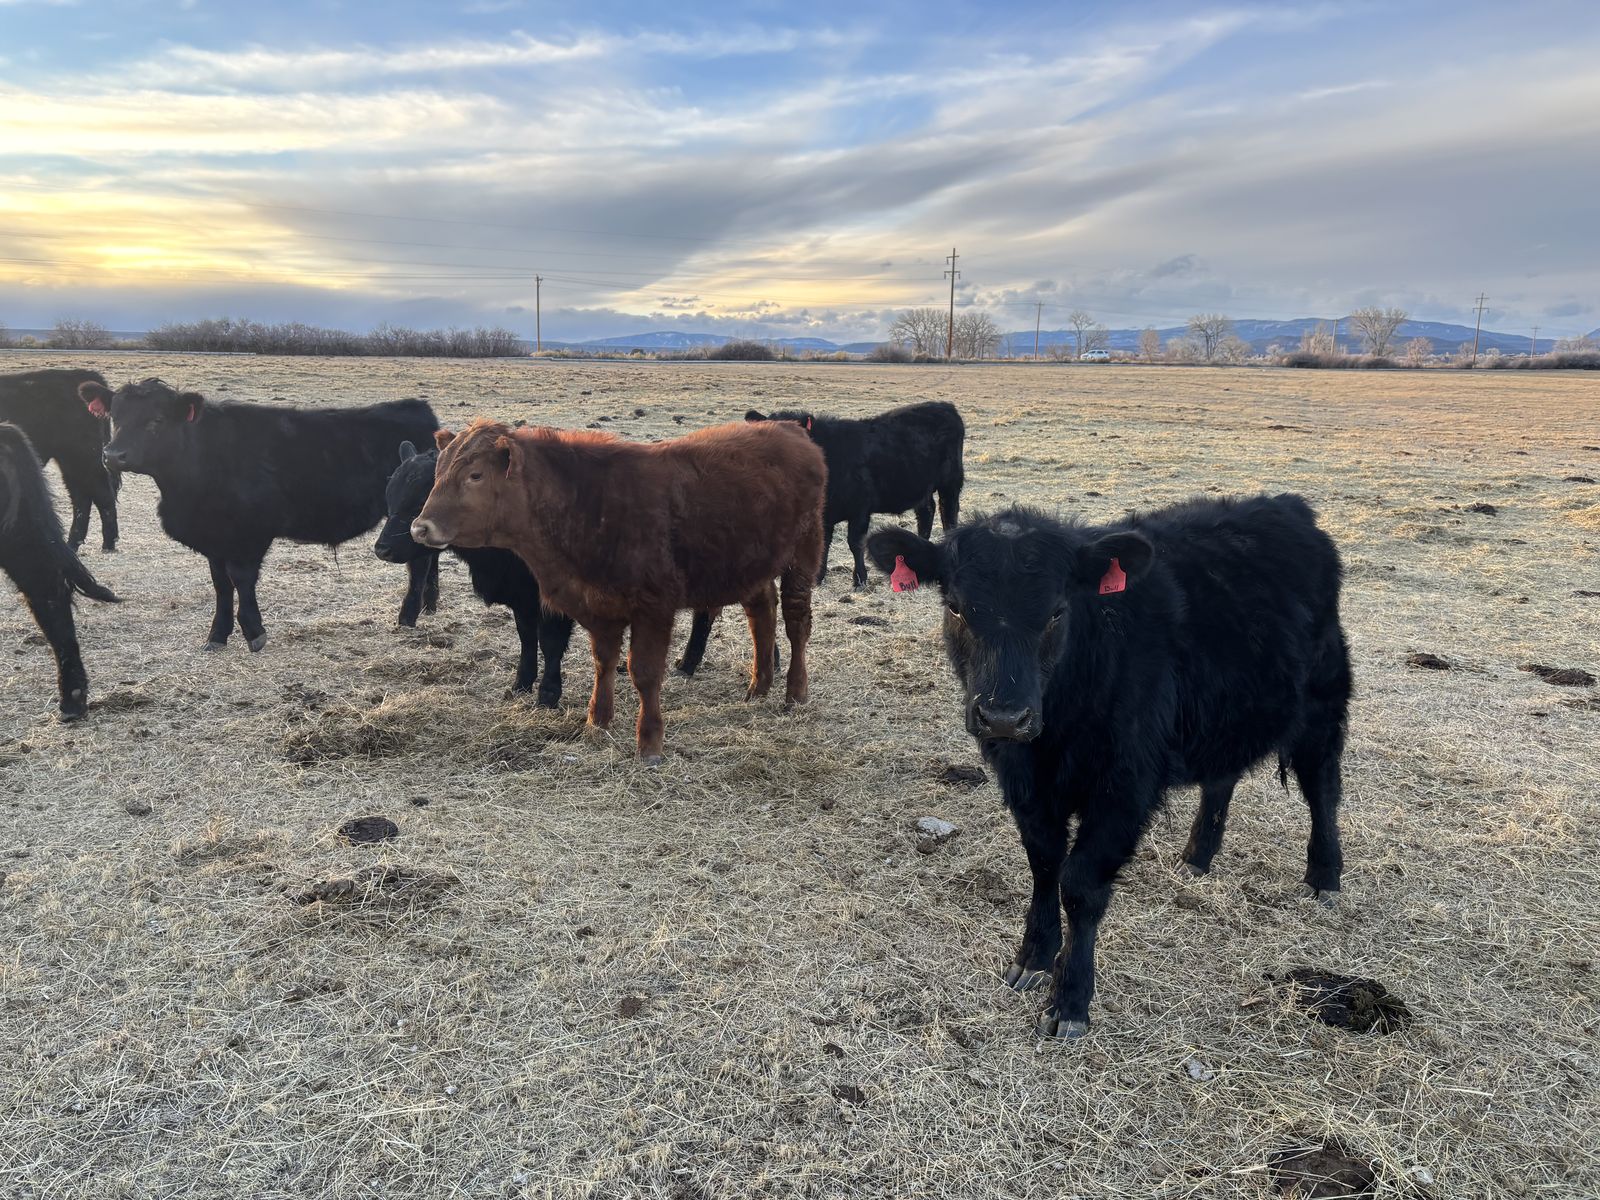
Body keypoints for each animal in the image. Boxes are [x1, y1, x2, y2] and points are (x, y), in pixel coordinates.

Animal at [0, 368, 121, 552]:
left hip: (83, 456)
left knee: (102, 494)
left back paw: (108, 544)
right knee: (81, 497)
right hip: (71, 462)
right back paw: (73, 543)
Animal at [79, 378, 437, 652]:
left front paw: (254, 632)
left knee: (418, 562)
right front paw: (217, 636)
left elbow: (241, 580)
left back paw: (408, 616)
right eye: (114, 417)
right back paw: (428, 605)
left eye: (156, 420)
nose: (112, 455)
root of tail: (416, 407)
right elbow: (221, 585)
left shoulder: (249, 536)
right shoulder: (214, 540)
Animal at [412, 418, 826, 761]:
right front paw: (598, 720)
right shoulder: (599, 606)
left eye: (476, 475)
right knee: (762, 615)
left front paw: (649, 743)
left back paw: (795, 692)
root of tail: (790, 429)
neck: (588, 504)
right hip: (749, 565)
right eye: (438, 472)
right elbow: (604, 662)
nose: (420, 527)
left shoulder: (654, 607)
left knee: (796, 622)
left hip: (803, 554)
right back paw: (759, 686)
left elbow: (643, 671)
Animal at [745, 400, 964, 587]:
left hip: (951, 482)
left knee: (948, 513)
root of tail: (945, 406)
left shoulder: (860, 508)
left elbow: (855, 543)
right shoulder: (824, 513)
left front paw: (859, 579)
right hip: (920, 485)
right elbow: (825, 543)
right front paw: (819, 577)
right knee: (926, 511)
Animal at [867, 494, 1351, 1039]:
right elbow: (1044, 865)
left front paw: (1070, 1001)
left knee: (1322, 789)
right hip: (1224, 713)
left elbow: (1080, 884)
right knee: (1221, 778)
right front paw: (1034, 959)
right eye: (955, 606)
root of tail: (1286, 506)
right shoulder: (1024, 782)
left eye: (1057, 611)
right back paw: (1197, 857)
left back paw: (1324, 877)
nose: (1004, 716)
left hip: (1322, 705)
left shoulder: (1125, 786)